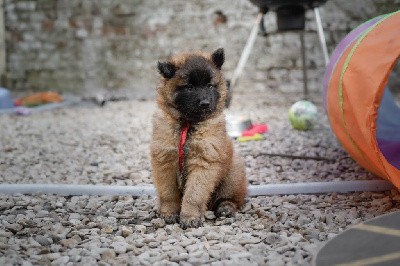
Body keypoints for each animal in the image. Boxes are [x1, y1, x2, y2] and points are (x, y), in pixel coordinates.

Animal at [150, 48, 247, 229]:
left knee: (233, 199)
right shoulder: (164, 161)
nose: (205, 103)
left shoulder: (204, 162)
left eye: (209, 85)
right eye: (189, 87)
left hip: (233, 175)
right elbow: (168, 193)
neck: (187, 124)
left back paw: (226, 208)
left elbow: (194, 195)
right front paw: (169, 213)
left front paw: (190, 217)